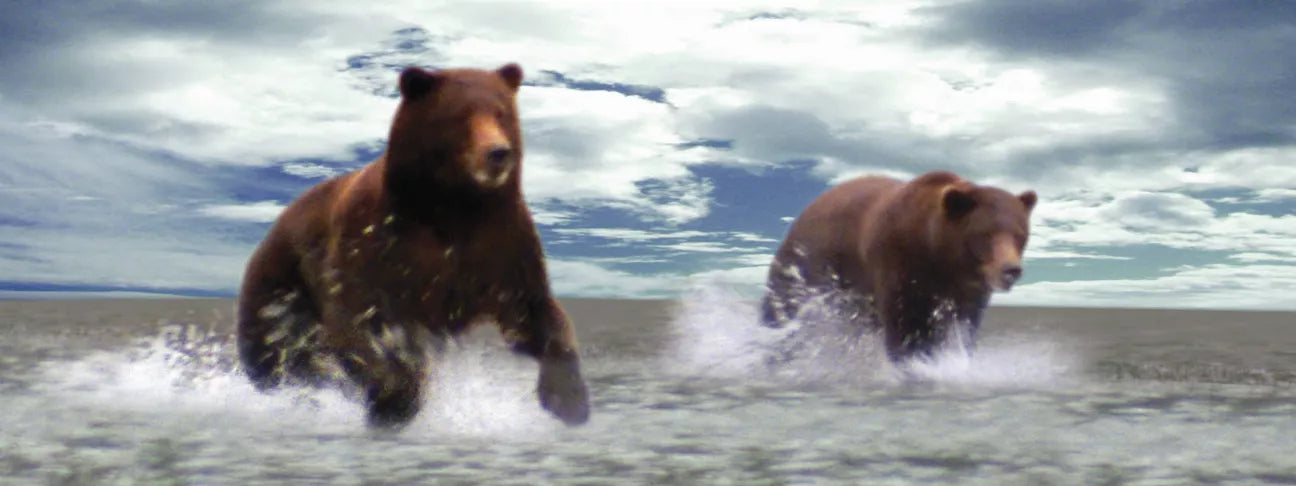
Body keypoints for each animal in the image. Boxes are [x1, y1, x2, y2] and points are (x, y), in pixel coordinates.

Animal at [235, 63, 590, 429]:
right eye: (460, 114)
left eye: (501, 113)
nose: (498, 153)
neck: (455, 207)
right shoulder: (374, 241)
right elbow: (359, 320)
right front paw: (398, 398)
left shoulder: (502, 246)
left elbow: (533, 313)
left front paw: (569, 400)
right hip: (278, 287)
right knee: (273, 353)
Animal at [760, 170, 1036, 364]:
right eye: (985, 234)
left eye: (1020, 234)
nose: (1010, 270)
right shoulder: (899, 265)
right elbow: (905, 327)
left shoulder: (967, 293)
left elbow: (962, 329)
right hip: (805, 266)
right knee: (781, 309)